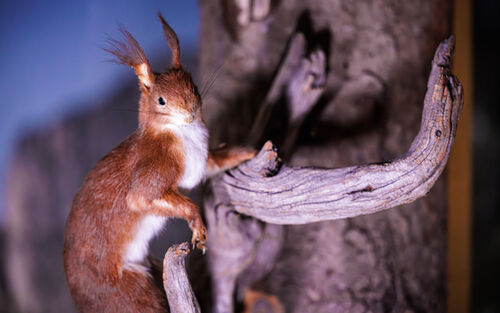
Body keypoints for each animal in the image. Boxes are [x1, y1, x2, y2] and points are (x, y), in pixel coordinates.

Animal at [63, 13, 254, 310]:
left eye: (192, 84)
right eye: (161, 101)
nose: (190, 113)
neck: (183, 134)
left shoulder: (199, 164)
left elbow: (217, 161)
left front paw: (250, 151)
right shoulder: (152, 172)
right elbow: (147, 198)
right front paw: (198, 227)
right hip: (133, 293)